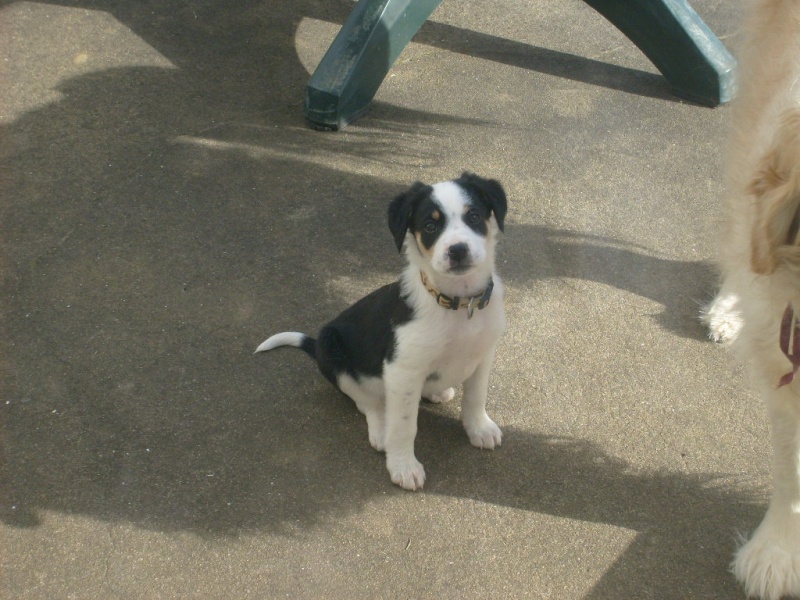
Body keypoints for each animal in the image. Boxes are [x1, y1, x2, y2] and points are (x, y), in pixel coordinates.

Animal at [256, 171, 506, 490]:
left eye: (474, 216)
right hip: (332, 352)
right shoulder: (402, 370)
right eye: (430, 226)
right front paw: (403, 466)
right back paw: (380, 430)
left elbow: (476, 396)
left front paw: (479, 429)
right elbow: (404, 425)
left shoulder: (483, 353)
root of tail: (316, 344)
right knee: (368, 403)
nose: (458, 250)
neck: (459, 305)